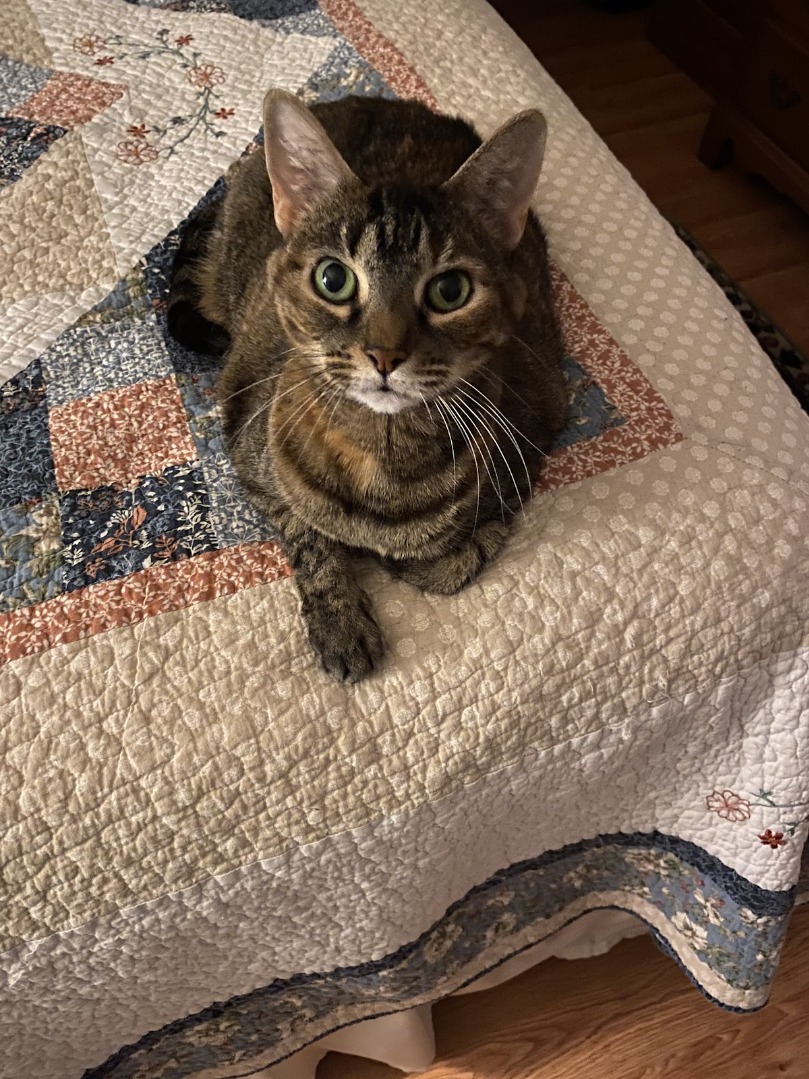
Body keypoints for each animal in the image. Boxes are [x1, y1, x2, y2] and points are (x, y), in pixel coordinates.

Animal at [168, 90, 568, 683]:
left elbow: (447, 564)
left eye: (451, 290)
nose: (385, 355)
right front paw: (340, 621)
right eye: (334, 279)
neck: (378, 453)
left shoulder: (534, 437)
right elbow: (310, 539)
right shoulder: (249, 449)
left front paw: (407, 557)